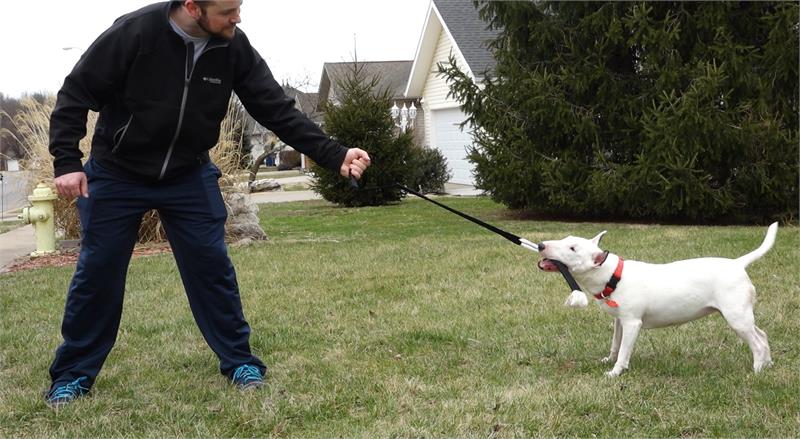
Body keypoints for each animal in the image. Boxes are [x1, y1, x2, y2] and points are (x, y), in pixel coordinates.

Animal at [536, 223, 776, 378]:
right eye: (567, 239)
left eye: (572, 248)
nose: (540, 245)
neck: (613, 275)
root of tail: (738, 263)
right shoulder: (620, 321)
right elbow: (615, 344)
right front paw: (608, 360)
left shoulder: (633, 323)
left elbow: (624, 350)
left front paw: (615, 372)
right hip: (742, 315)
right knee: (762, 335)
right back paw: (768, 364)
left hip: (735, 316)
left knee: (756, 342)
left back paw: (756, 371)